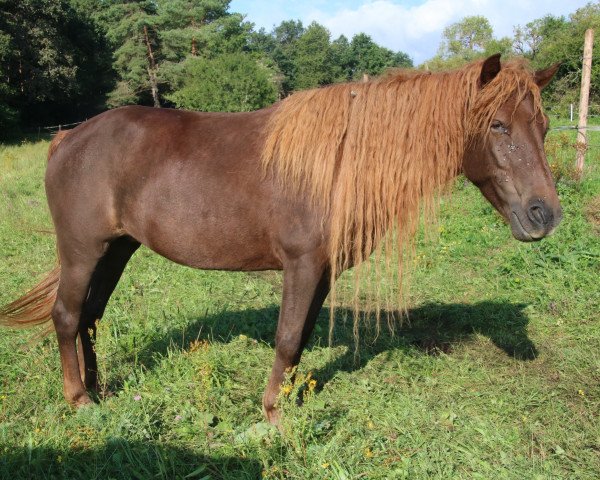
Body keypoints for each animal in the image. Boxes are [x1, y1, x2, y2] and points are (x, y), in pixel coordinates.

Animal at [1, 55, 564, 424]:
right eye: (497, 125)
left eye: (543, 125)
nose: (545, 215)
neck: (339, 163)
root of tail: (69, 137)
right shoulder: (302, 265)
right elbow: (288, 337)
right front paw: (272, 416)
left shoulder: (323, 273)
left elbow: (301, 339)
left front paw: (287, 402)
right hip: (82, 251)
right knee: (67, 316)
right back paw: (79, 400)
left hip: (116, 249)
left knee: (90, 317)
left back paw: (99, 389)